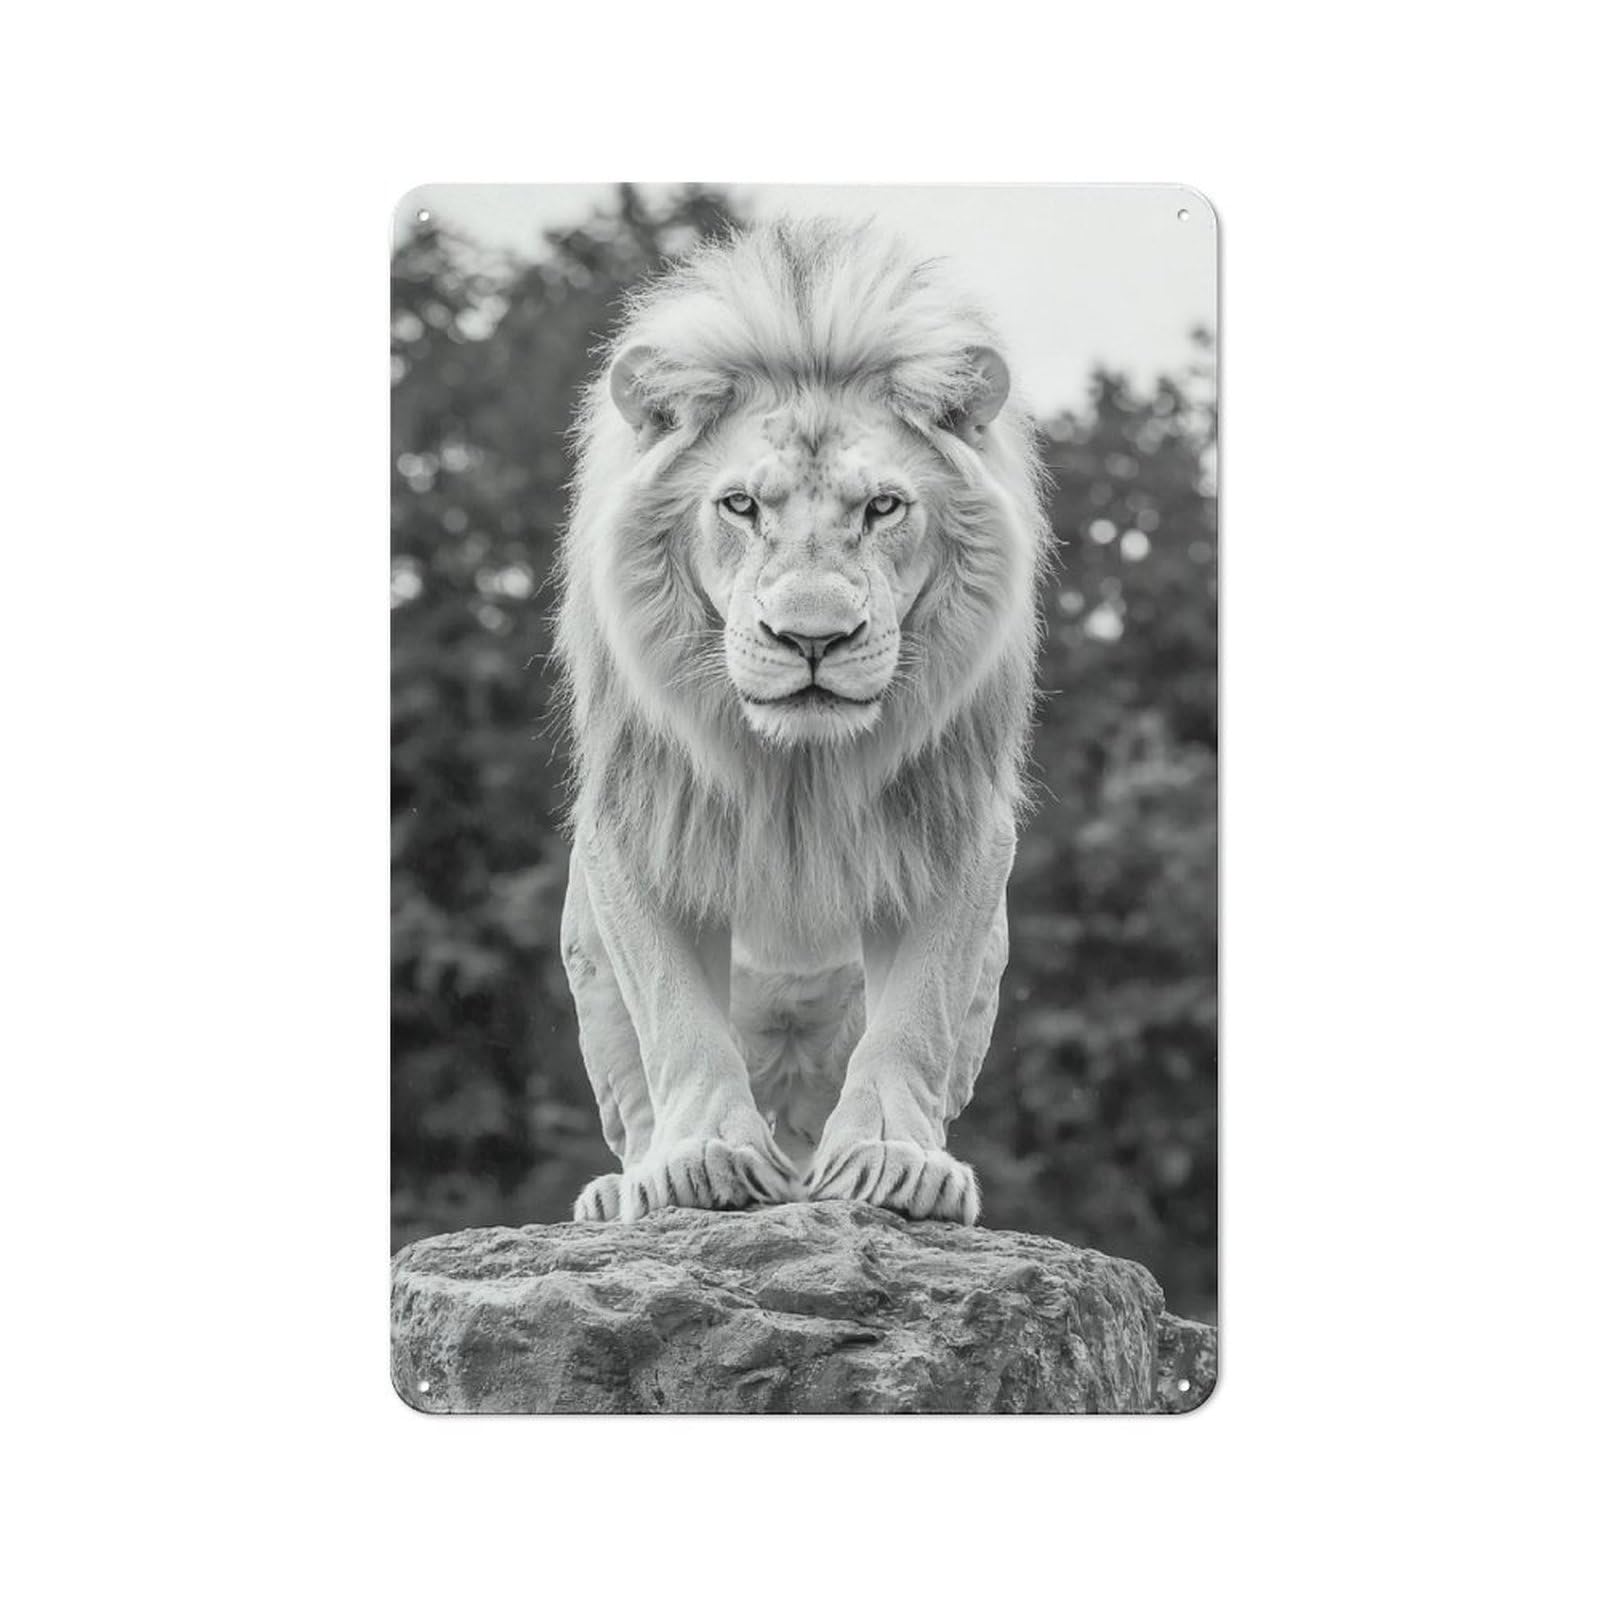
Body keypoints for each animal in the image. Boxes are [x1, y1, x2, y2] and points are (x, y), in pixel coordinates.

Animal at [553, 217, 1049, 1226]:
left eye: (883, 507)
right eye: (741, 505)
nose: (812, 638)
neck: (798, 767)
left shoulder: (958, 822)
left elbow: (916, 1016)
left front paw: (897, 1161)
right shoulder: (635, 816)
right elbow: (676, 1015)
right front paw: (699, 1162)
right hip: (585, 963)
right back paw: (618, 1192)